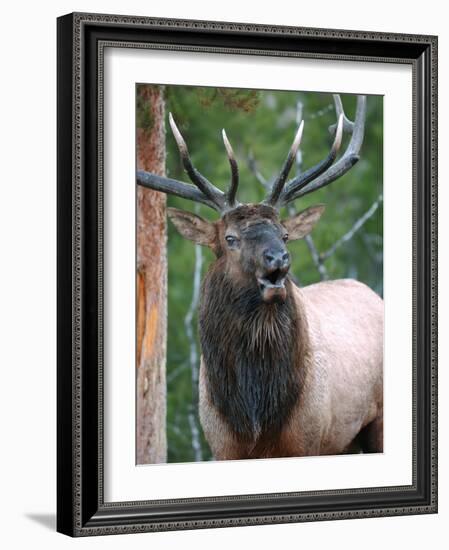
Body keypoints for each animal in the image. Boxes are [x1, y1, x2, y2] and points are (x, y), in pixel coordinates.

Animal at [136, 95, 382, 462]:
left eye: (284, 234)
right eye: (230, 238)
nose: (278, 258)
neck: (255, 417)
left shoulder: (307, 442)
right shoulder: (222, 446)